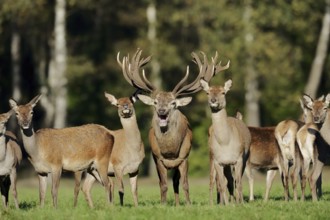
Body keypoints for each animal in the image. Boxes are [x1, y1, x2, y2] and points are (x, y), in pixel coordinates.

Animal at [117, 49, 211, 205]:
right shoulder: (157, 158)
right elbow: (163, 184)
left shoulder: (184, 157)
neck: (170, 150)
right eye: (155, 102)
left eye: (173, 103)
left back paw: (178, 204)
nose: (161, 111)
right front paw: (163, 204)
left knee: (176, 181)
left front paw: (188, 204)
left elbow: (185, 184)